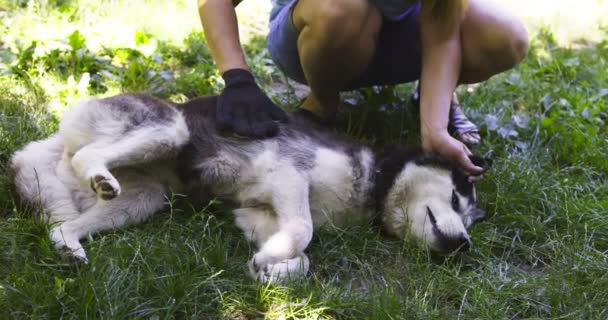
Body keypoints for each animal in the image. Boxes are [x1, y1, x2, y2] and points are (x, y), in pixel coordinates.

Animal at [9, 93, 486, 282]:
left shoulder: (257, 212)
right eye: (456, 197)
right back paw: (97, 172)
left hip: (142, 198)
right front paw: (275, 263)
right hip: (169, 128)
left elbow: (302, 255)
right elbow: (304, 232)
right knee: (87, 157)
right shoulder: (287, 173)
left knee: (62, 226)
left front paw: (271, 268)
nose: (463, 243)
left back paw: (70, 247)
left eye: (470, 218)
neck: (374, 180)